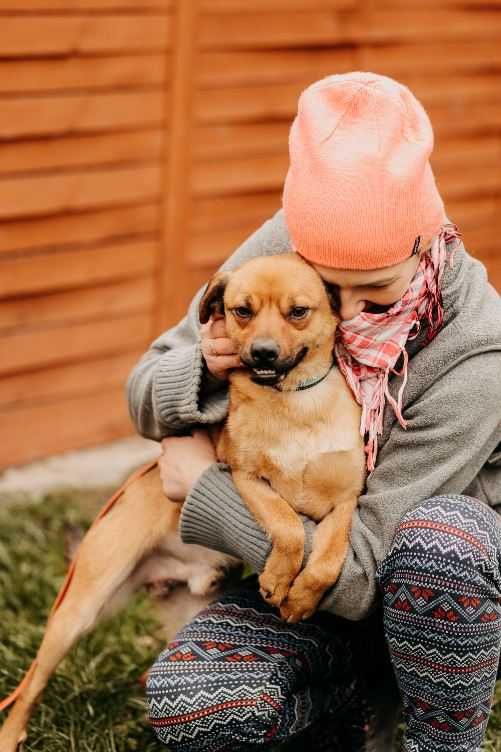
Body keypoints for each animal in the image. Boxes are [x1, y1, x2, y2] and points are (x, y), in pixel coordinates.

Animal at [0, 251, 364, 748]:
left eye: (298, 312)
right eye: (242, 311)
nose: (263, 353)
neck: (292, 405)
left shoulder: (346, 501)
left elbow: (327, 559)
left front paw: (301, 598)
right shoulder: (245, 478)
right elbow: (287, 524)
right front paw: (277, 579)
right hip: (78, 610)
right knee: (31, 685)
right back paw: (10, 733)